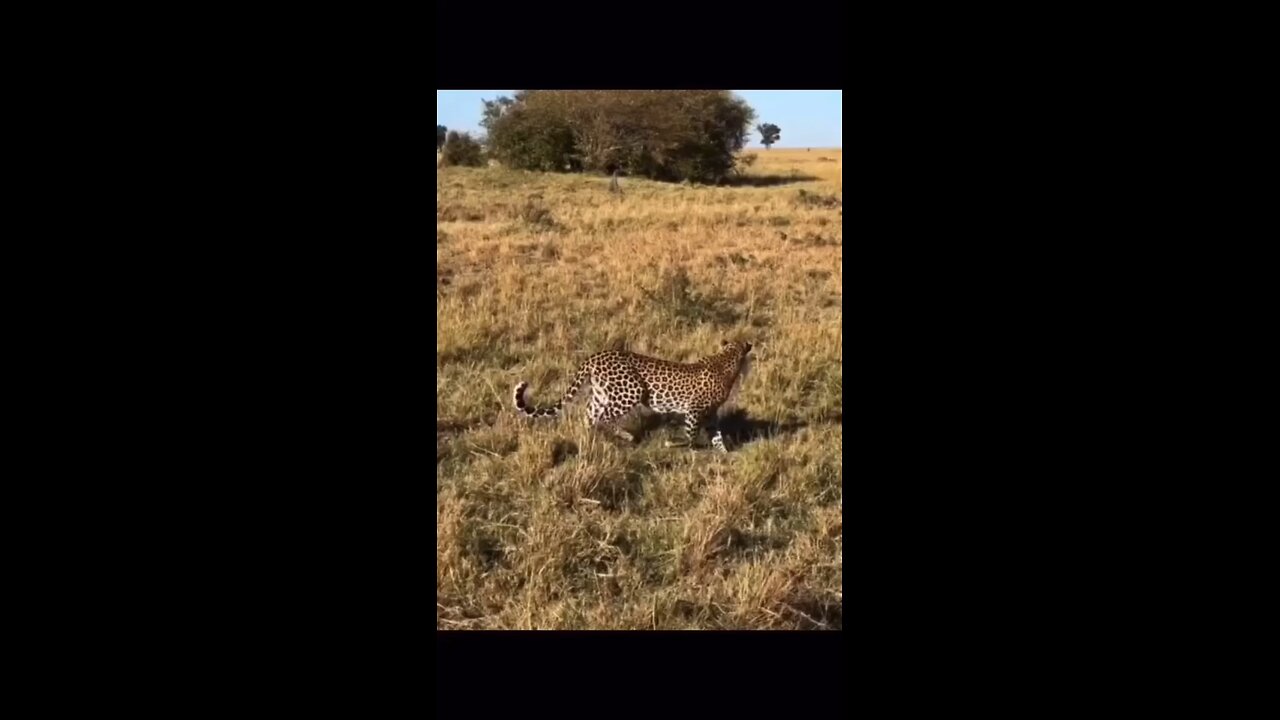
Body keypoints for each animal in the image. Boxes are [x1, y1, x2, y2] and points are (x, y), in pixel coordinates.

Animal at [509, 338, 747, 450]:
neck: (727, 358)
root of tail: (596, 355)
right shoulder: (694, 410)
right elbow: (691, 435)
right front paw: (675, 443)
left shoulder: (711, 413)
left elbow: (716, 434)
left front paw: (724, 454)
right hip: (632, 390)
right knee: (604, 417)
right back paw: (625, 436)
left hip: (601, 394)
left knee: (589, 416)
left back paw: (587, 439)